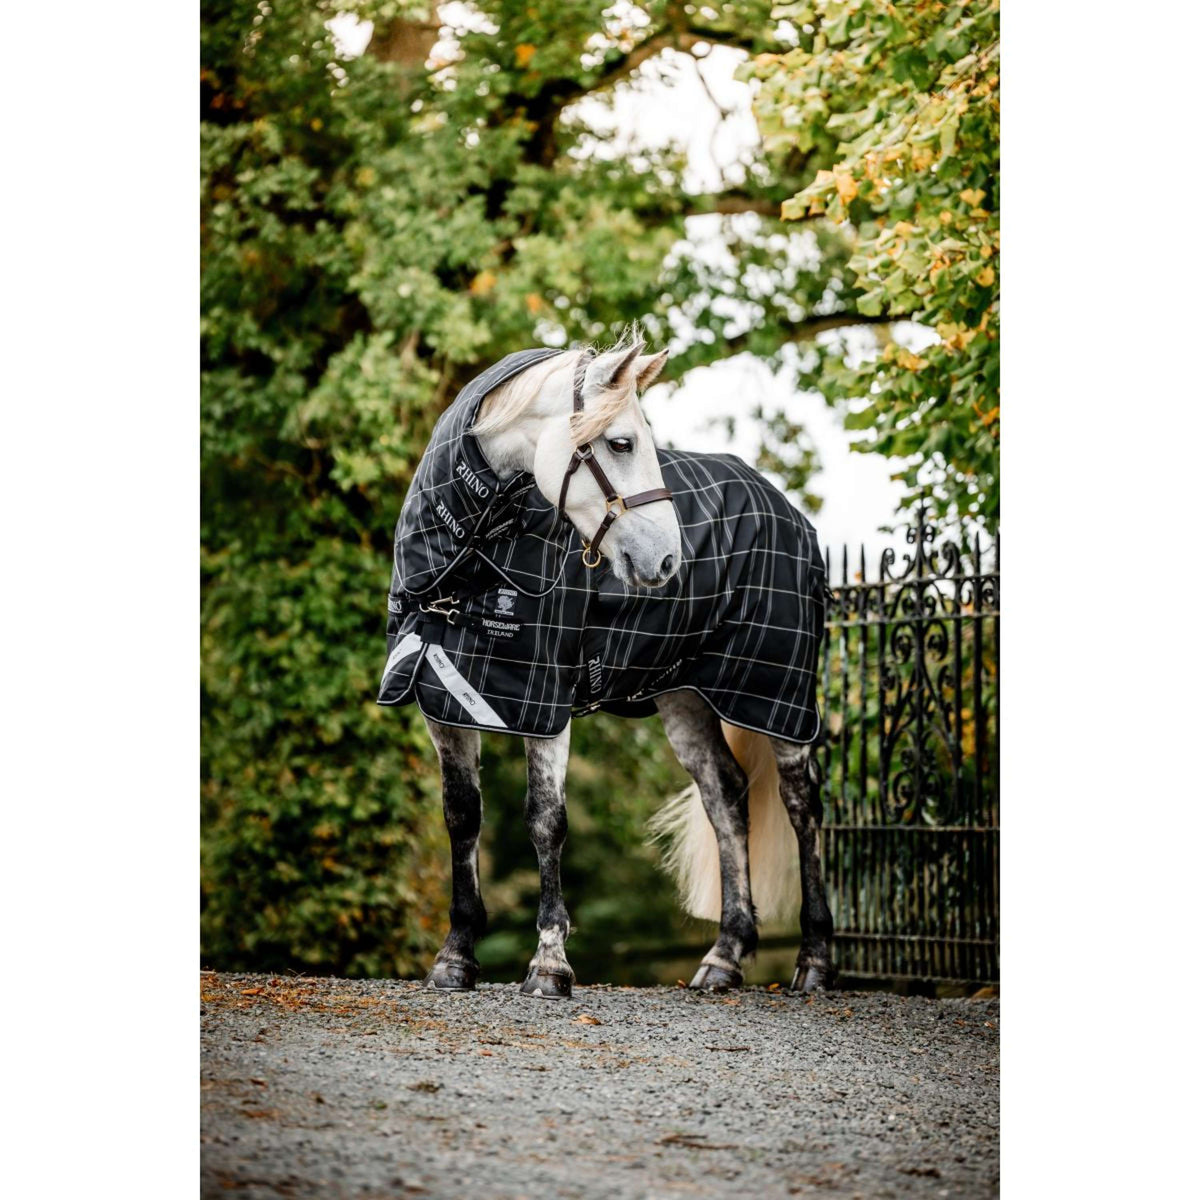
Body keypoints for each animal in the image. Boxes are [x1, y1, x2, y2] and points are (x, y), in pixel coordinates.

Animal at [378, 337, 833, 998]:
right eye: (620, 443)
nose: (667, 559)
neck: (468, 566)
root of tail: (781, 505)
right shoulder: (444, 701)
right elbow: (462, 817)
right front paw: (456, 957)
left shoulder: (545, 707)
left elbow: (546, 821)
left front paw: (549, 965)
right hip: (684, 697)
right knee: (726, 798)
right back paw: (723, 958)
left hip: (777, 694)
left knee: (802, 804)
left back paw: (815, 960)